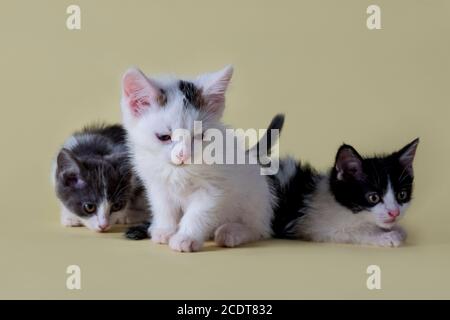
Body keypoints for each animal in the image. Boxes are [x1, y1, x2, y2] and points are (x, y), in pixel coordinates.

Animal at [119, 64, 282, 250]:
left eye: (199, 136)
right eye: (164, 137)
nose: (183, 155)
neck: (178, 172)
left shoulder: (213, 189)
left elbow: (198, 213)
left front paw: (186, 238)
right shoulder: (157, 185)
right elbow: (164, 207)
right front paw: (164, 230)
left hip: (255, 198)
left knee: (259, 229)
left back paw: (232, 232)